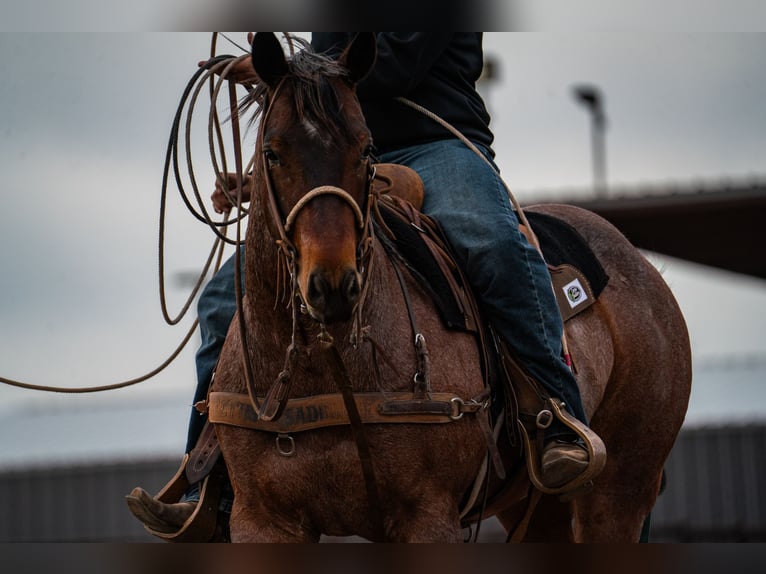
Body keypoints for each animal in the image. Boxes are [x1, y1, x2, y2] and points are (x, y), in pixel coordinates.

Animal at [208, 32, 692, 542]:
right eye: (272, 153)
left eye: (366, 151)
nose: (333, 284)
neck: (327, 369)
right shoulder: (262, 519)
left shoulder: (427, 514)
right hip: (539, 507)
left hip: (621, 488)